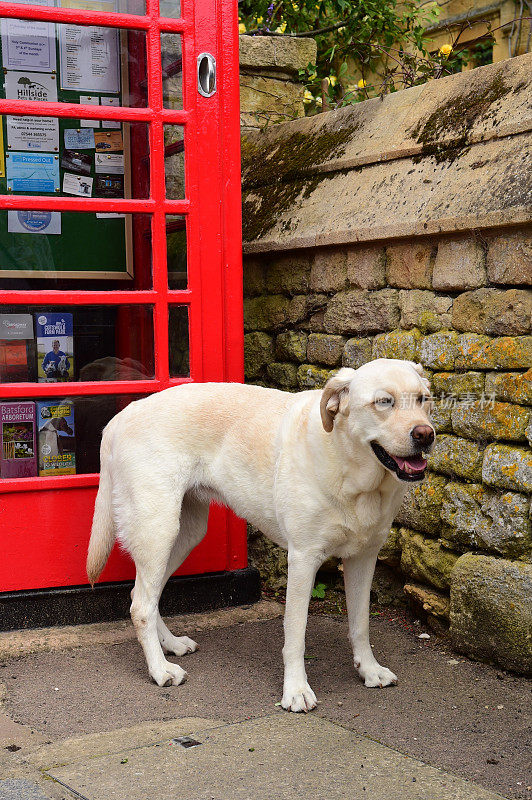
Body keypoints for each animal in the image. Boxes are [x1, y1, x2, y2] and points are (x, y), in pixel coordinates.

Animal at [87, 360, 434, 708]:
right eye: (383, 402)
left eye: (423, 399)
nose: (426, 435)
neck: (354, 473)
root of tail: (123, 415)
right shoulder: (303, 559)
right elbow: (295, 633)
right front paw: (296, 690)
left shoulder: (364, 557)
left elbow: (360, 624)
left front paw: (370, 670)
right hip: (158, 531)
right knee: (141, 606)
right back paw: (160, 670)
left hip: (184, 535)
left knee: (143, 594)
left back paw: (170, 644)